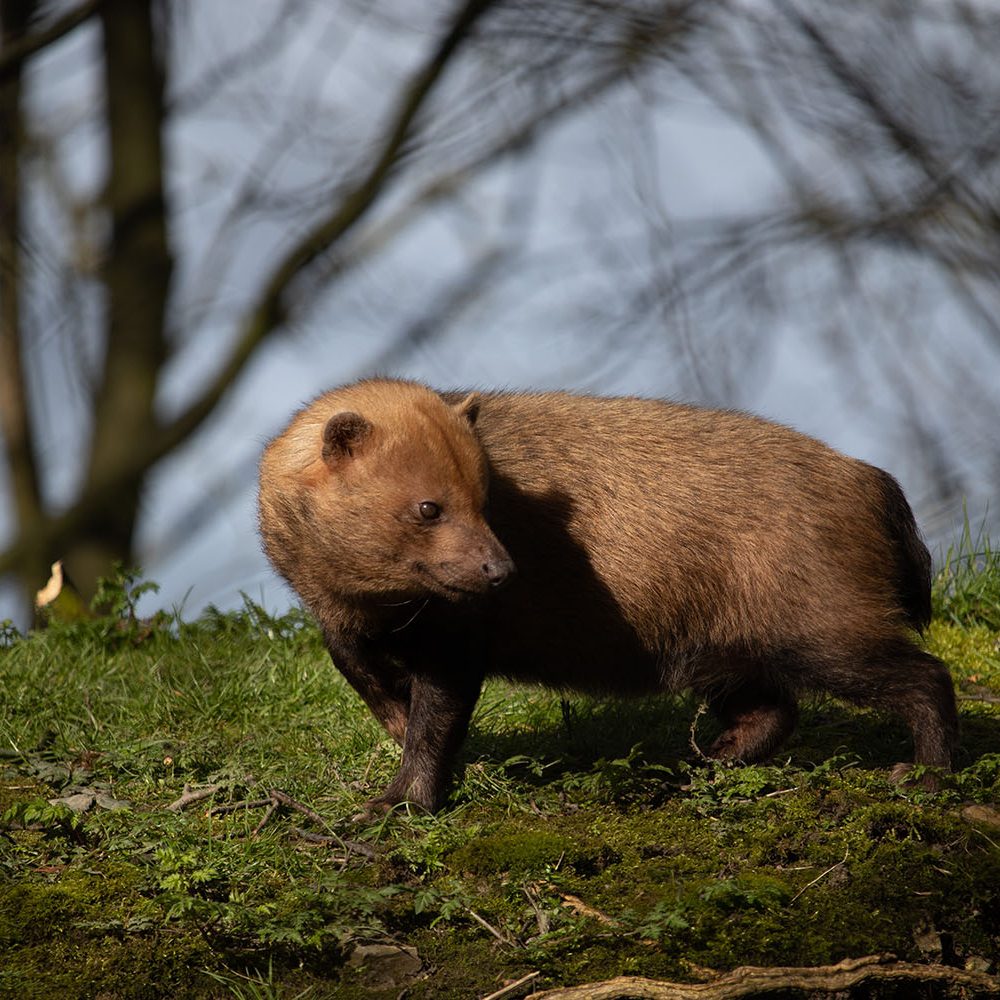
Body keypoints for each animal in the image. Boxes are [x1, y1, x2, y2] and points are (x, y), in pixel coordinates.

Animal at [260, 378, 960, 808]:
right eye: (429, 507)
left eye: (485, 498)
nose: (501, 571)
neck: (368, 604)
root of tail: (871, 480)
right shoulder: (348, 632)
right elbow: (383, 696)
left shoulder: (457, 643)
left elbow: (435, 724)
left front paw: (397, 803)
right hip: (723, 646)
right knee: (773, 710)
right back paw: (709, 761)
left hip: (824, 631)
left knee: (926, 676)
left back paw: (927, 774)